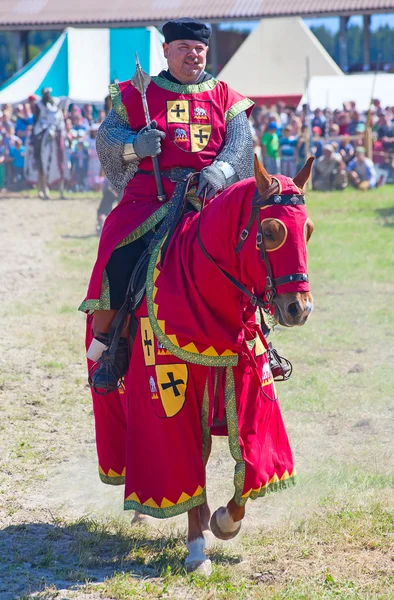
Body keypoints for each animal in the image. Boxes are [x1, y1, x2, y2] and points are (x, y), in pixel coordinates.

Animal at [86, 156, 314, 576]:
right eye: (270, 232)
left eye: (307, 230)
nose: (299, 309)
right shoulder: (171, 394)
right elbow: (182, 460)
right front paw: (196, 547)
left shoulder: (247, 378)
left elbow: (252, 457)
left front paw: (224, 520)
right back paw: (146, 513)